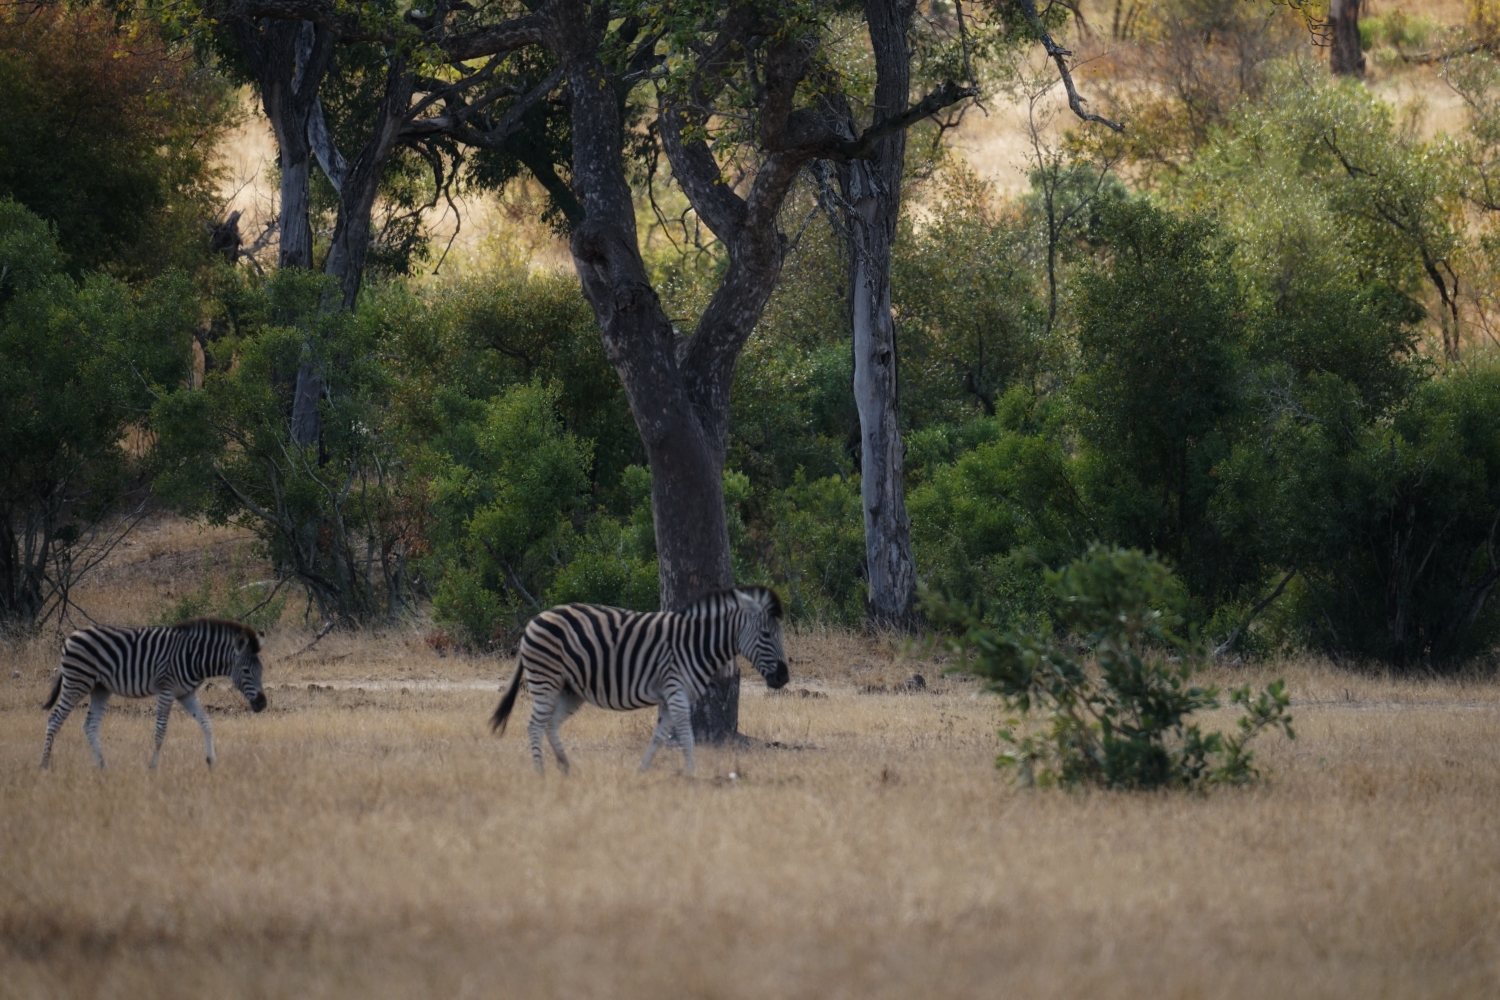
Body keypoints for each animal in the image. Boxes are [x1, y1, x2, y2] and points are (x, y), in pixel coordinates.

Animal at [41, 617, 270, 773]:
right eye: (247, 671)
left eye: (262, 671)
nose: (262, 704)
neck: (194, 657)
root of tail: (71, 636)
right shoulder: (167, 690)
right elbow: (160, 732)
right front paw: (152, 768)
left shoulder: (186, 694)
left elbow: (206, 722)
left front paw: (211, 762)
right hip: (77, 682)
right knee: (54, 719)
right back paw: (43, 766)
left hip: (100, 689)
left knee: (90, 725)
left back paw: (103, 767)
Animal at [495, 587, 798, 773]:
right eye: (766, 635)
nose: (783, 677)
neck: (698, 644)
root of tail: (535, 620)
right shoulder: (677, 692)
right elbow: (686, 736)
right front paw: (693, 774)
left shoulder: (671, 697)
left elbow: (659, 737)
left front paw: (641, 772)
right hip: (546, 679)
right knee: (535, 725)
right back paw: (541, 773)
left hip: (570, 690)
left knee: (550, 724)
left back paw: (566, 768)